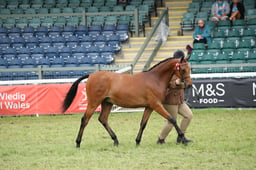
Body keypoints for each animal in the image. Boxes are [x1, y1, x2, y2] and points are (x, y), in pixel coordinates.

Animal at [63, 55, 192, 147]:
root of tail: (91, 75)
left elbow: (143, 123)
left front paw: (137, 141)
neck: (155, 79)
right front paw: (183, 138)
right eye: (183, 70)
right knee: (85, 120)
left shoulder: (149, 107)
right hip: (93, 103)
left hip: (107, 103)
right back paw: (78, 143)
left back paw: (115, 140)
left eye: (189, 69)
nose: (189, 85)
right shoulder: (156, 105)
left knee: (103, 119)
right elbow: (172, 119)